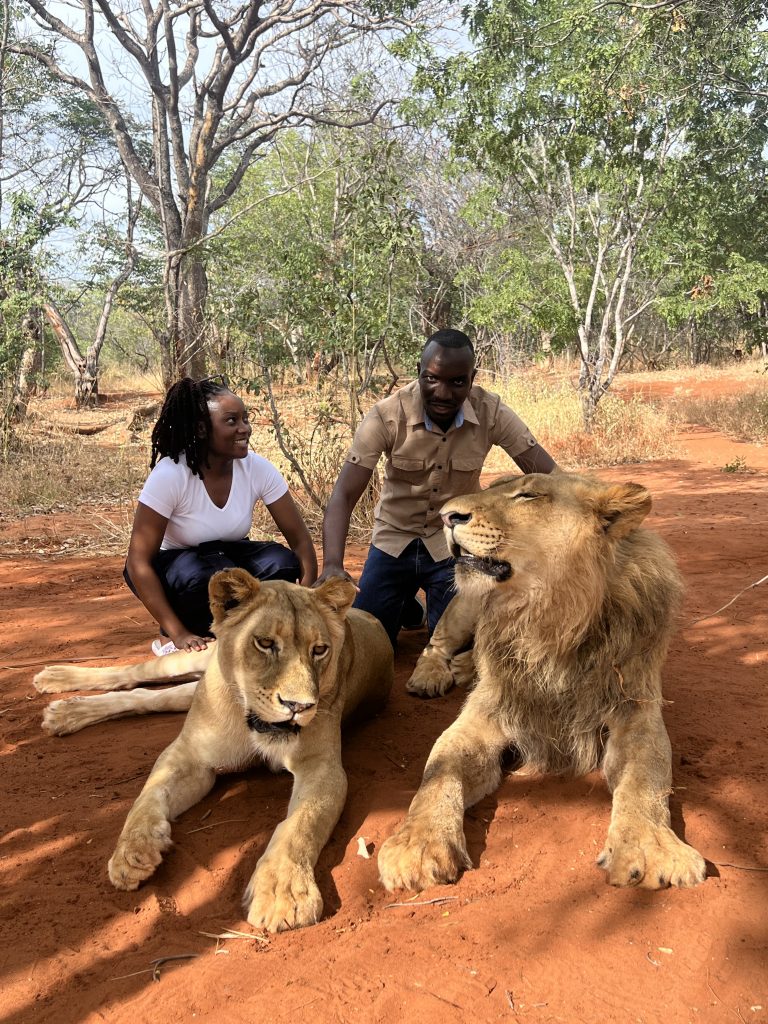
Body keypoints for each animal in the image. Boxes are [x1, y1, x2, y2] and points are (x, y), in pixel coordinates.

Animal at [34, 571, 393, 932]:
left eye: (319, 650)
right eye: (264, 643)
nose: (299, 707)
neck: (249, 719)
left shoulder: (322, 767)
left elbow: (299, 826)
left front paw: (283, 894)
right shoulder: (189, 756)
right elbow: (147, 796)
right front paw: (134, 850)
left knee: (148, 697)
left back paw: (64, 712)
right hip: (193, 658)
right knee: (134, 674)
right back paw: (57, 681)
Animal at [379, 472, 707, 894]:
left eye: (528, 495)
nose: (446, 515)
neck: (547, 620)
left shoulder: (636, 710)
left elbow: (645, 778)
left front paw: (650, 846)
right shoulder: (487, 712)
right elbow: (438, 770)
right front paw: (417, 843)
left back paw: (466, 667)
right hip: (464, 603)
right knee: (437, 641)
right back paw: (431, 675)